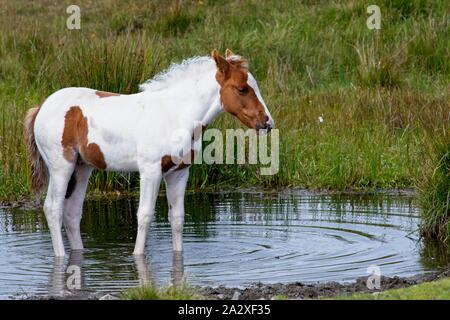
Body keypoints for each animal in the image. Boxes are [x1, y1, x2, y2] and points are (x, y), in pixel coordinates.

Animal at [24, 48, 274, 256]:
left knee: (72, 213)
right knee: (53, 209)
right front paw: (137, 258)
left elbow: (177, 219)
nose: (267, 122)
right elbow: (144, 216)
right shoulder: (150, 171)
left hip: (82, 168)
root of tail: (41, 107)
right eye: (242, 89)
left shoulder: (179, 173)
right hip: (61, 167)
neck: (174, 114)